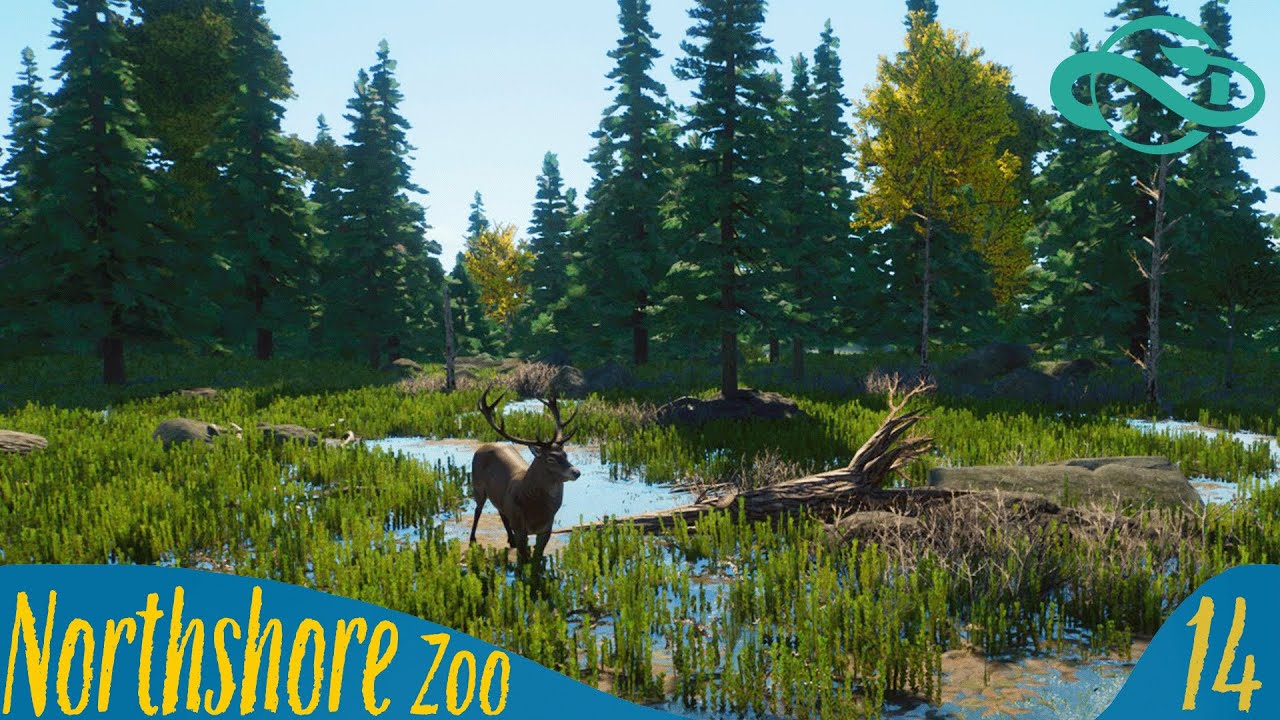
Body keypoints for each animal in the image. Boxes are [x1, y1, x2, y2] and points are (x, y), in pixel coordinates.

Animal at [470, 386, 581, 563]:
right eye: (550, 458)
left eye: (565, 454)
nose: (576, 472)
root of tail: (484, 445)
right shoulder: (520, 526)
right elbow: (525, 561)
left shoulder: (547, 528)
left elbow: (537, 558)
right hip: (477, 484)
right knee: (477, 510)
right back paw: (472, 539)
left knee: (501, 511)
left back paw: (510, 540)